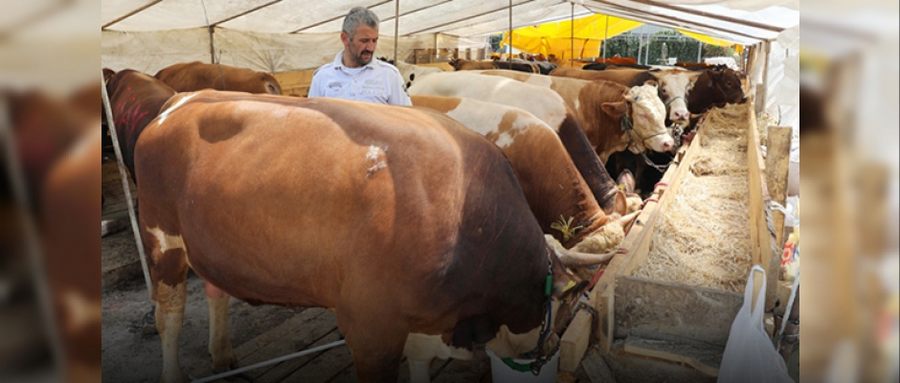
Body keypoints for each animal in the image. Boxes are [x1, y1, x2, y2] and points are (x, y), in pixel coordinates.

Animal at [135, 91, 592, 382]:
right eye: (561, 314)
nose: (545, 352)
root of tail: (181, 101)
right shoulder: (371, 325)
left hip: (207, 245)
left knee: (215, 292)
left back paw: (223, 354)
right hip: (163, 240)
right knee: (168, 316)